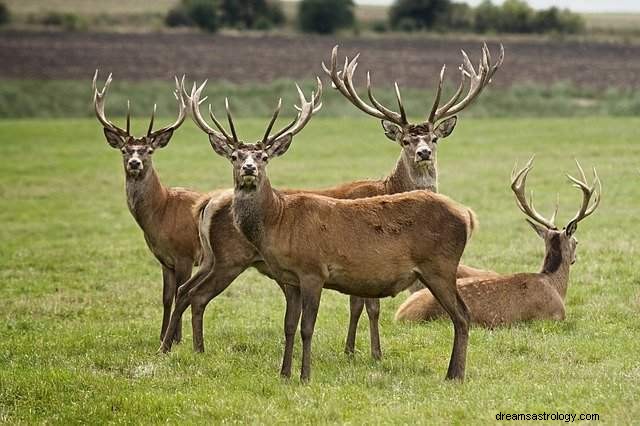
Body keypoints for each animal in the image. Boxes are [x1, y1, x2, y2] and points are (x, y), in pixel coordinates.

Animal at [92, 71, 216, 344]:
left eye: (149, 150)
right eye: (125, 150)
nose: (135, 163)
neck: (161, 213)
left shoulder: (185, 254)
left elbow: (181, 293)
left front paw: (176, 338)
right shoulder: (164, 259)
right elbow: (166, 297)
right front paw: (162, 336)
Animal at [158, 44, 502, 362]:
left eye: (434, 138)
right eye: (405, 140)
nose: (424, 153)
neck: (388, 186)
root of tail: (206, 202)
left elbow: (358, 303)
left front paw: (353, 350)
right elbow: (367, 306)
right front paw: (369, 353)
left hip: (211, 257)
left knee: (186, 291)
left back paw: (174, 345)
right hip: (229, 258)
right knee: (196, 295)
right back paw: (182, 347)